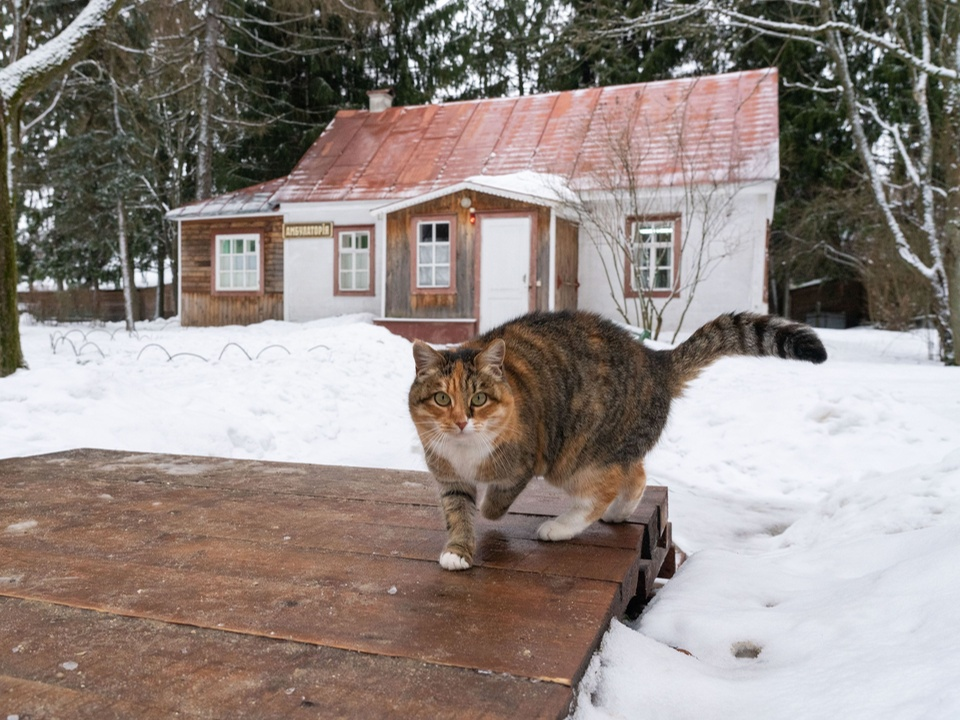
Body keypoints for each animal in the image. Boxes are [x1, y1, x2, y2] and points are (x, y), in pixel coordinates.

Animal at [404, 312, 824, 572]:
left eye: (478, 399)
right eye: (441, 399)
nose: (461, 422)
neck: (465, 451)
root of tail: (655, 361)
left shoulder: (523, 462)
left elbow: (495, 503)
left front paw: (488, 510)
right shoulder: (449, 477)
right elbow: (457, 512)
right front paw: (458, 550)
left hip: (575, 456)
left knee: (604, 487)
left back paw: (560, 527)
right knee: (635, 473)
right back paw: (621, 512)